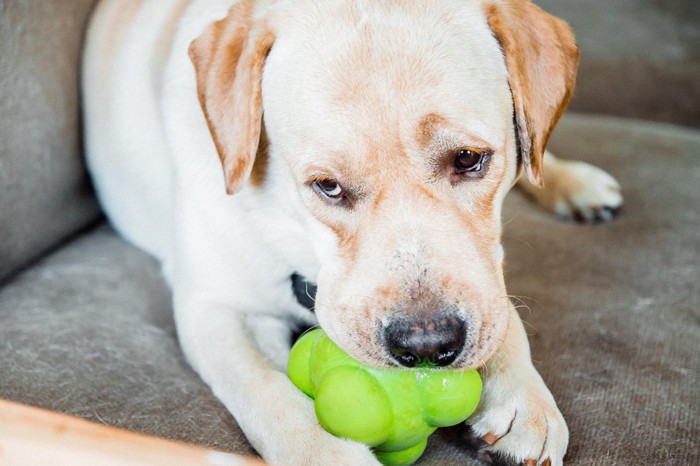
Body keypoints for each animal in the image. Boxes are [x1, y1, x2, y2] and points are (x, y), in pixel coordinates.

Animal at [82, 0, 624, 466]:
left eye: (469, 159)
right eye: (328, 186)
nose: (427, 347)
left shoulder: (485, 270)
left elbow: (501, 309)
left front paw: (523, 396)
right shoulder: (214, 308)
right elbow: (267, 392)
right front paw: (326, 452)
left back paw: (577, 183)